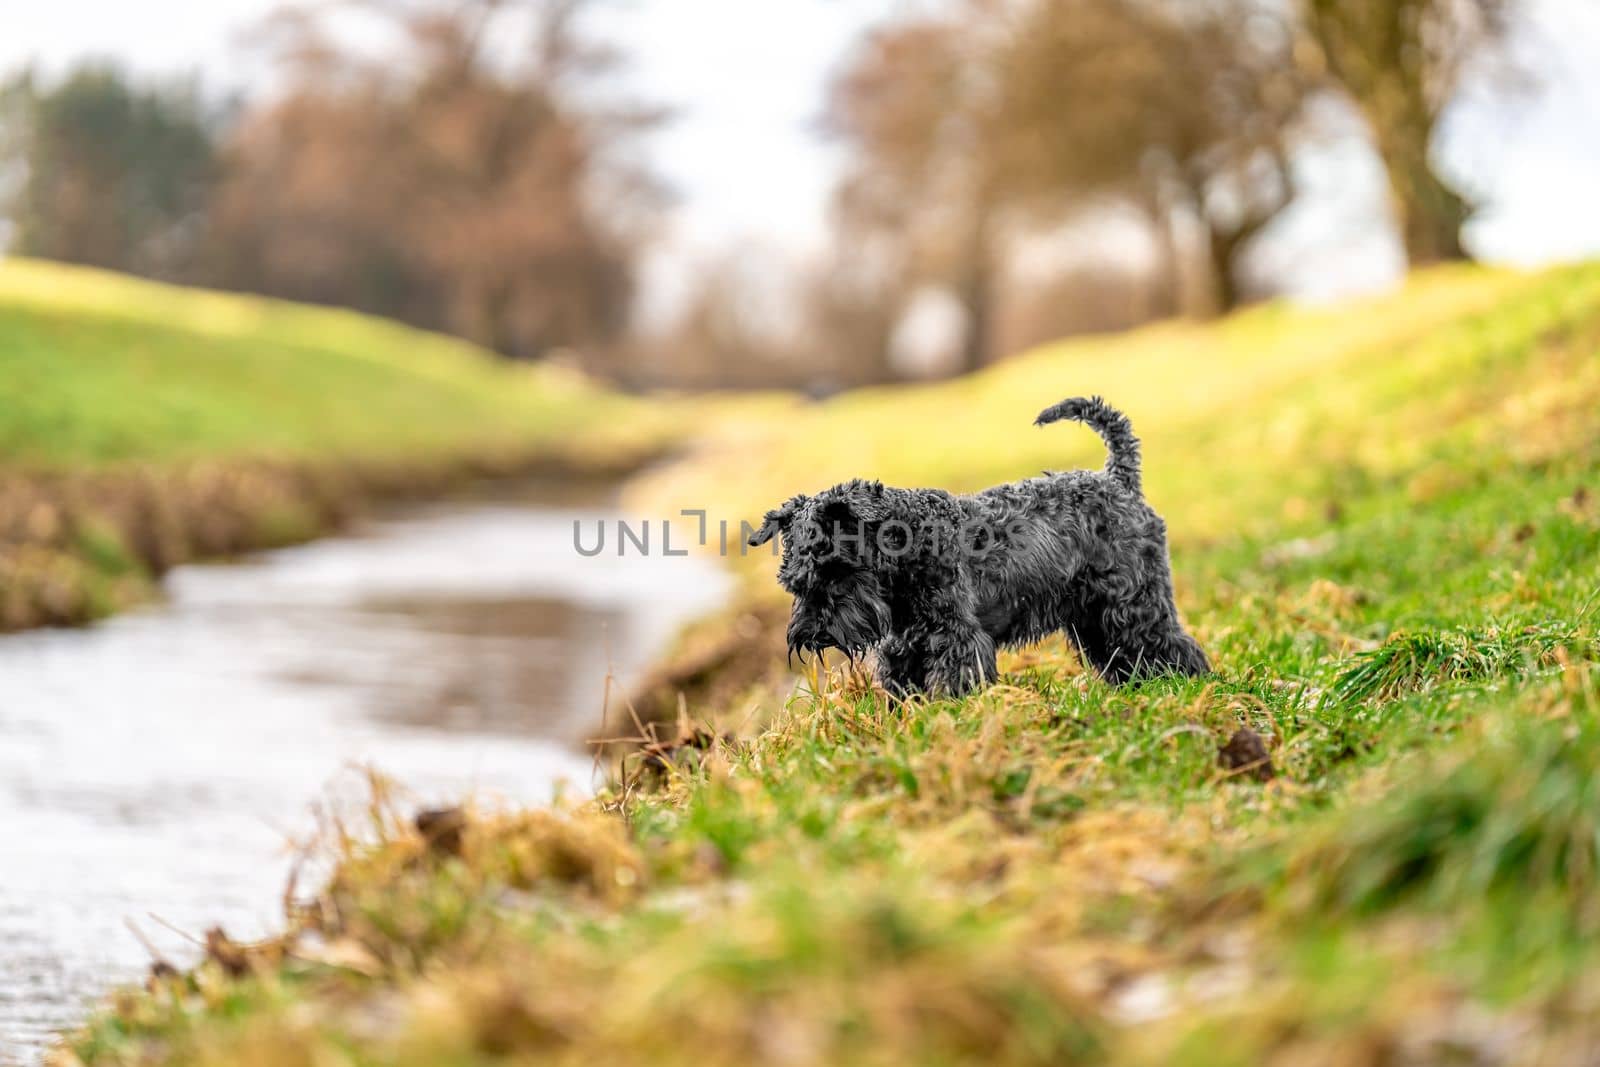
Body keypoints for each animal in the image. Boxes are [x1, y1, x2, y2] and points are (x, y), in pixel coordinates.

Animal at [748, 396, 1209, 697]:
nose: (812, 633)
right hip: (1094, 616)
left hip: (1132, 603)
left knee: (1168, 643)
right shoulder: (904, 648)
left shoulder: (956, 640)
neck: (908, 547)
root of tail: (1119, 481)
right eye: (794, 583)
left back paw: (1185, 683)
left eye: (836, 570)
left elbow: (954, 681)